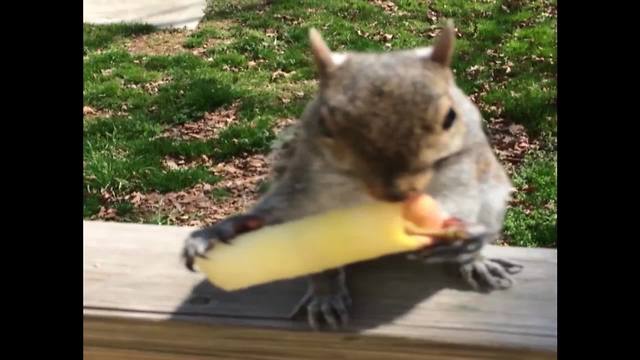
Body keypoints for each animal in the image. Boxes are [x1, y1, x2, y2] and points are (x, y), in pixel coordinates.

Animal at [182, 19, 524, 330]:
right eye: (325, 124)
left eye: (450, 117)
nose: (396, 191)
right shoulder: (303, 187)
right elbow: (278, 213)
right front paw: (223, 230)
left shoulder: (481, 172)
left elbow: (491, 203)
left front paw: (473, 246)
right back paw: (325, 295)